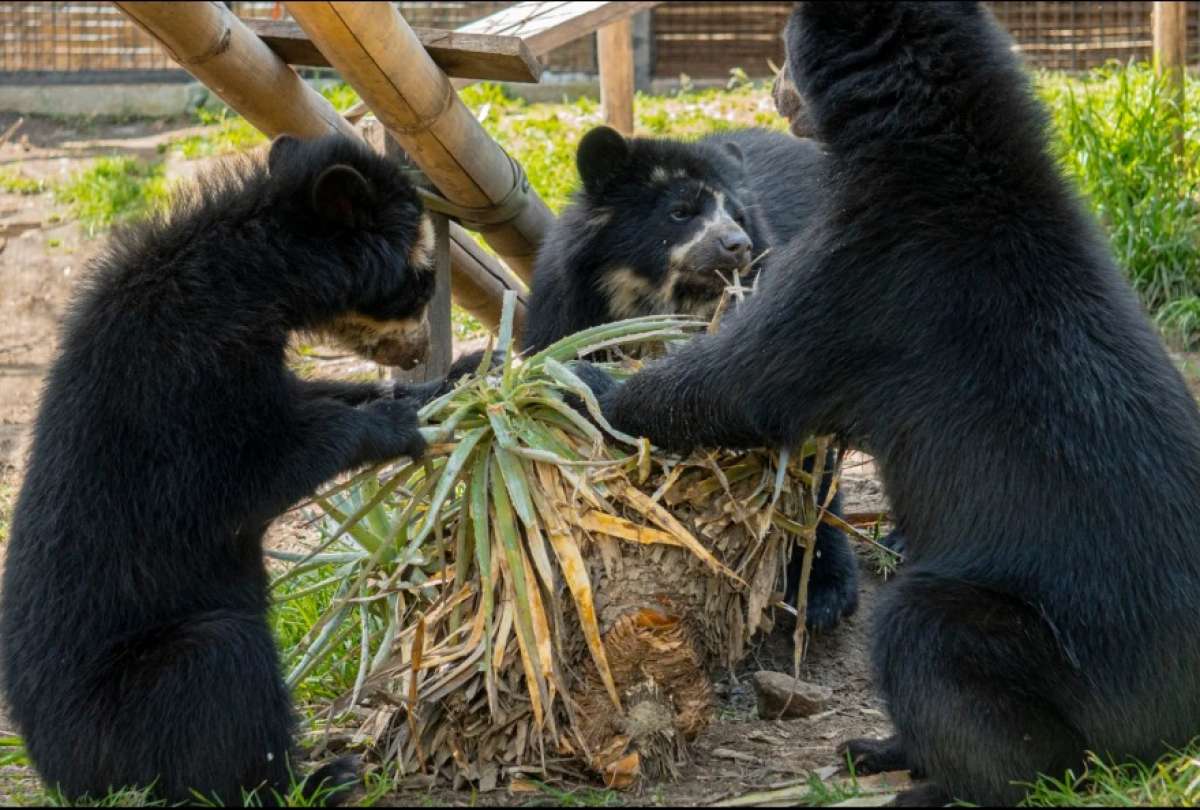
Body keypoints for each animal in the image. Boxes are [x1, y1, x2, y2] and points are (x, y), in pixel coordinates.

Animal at [0, 133, 461, 805]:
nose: (419, 352)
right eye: (422, 282)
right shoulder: (181, 376)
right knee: (223, 669)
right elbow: (234, 480)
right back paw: (320, 778)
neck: (251, 279)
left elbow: (309, 398)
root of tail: (54, 768)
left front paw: (469, 372)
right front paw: (399, 420)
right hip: (129, 705)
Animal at [572, 2, 1200, 805]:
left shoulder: (854, 277)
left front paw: (577, 382)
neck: (944, 150)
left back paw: (936, 781)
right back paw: (879, 748)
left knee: (947, 660)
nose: (775, 87)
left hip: (1056, 660)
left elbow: (735, 383)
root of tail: (1172, 732)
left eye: (786, 48)